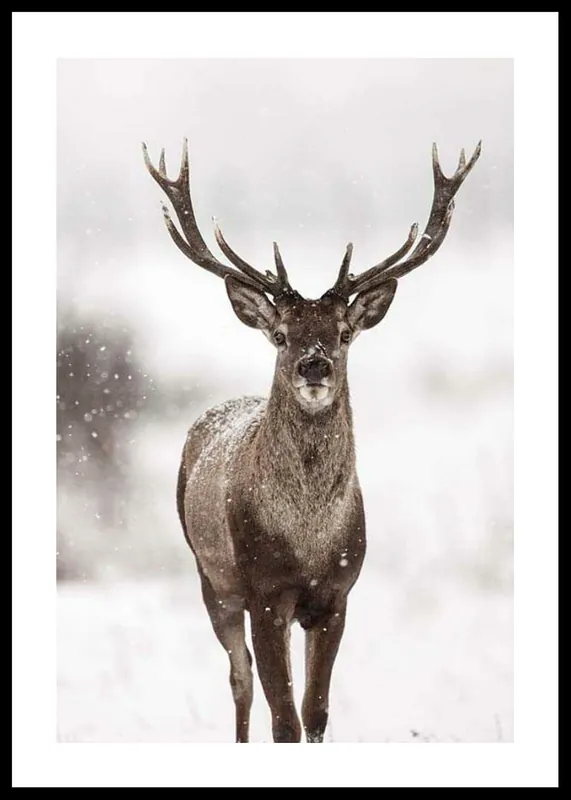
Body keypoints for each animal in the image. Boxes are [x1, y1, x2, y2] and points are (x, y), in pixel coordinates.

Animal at [142, 138, 481, 743]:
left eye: (344, 333)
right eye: (281, 335)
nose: (314, 364)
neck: (307, 539)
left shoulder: (337, 594)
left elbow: (315, 711)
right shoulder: (264, 592)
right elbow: (284, 718)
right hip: (211, 576)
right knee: (240, 680)